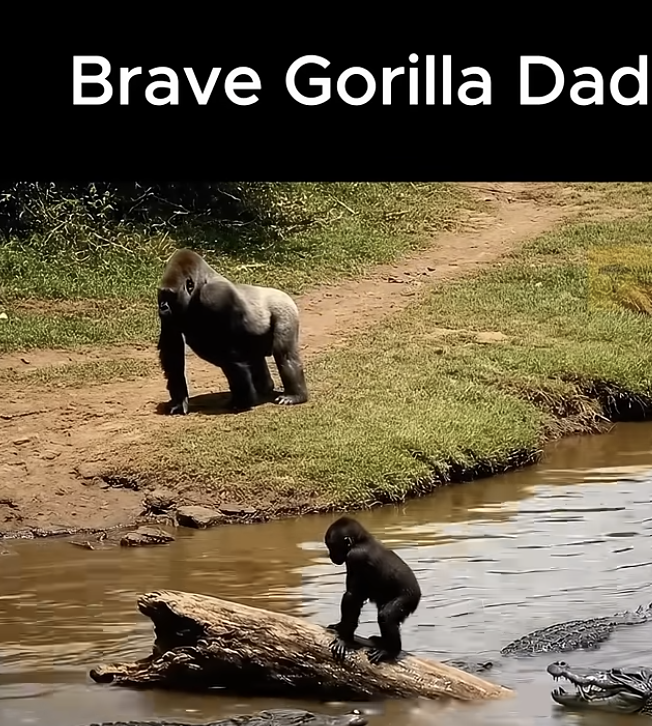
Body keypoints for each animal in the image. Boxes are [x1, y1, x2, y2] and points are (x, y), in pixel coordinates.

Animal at [156, 248, 309, 414]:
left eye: (171, 295)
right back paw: (264, 387)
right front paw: (179, 402)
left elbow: (230, 352)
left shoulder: (215, 296)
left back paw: (295, 395)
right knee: (255, 356)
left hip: (285, 311)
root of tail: (284, 294)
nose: (162, 307)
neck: (198, 288)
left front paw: (242, 402)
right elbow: (172, 352)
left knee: (284, 354)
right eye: (162, 294)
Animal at [324, 515, 421, 665]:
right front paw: (339, 627)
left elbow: (353, 597)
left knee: (386, 615)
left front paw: (343, 639)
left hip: (407, 599)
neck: (361, 540)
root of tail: (419, 595)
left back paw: (390, 650)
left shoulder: (355, 557)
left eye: (331, 546)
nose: (330, 555)